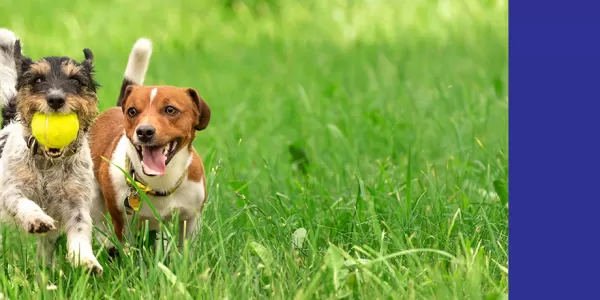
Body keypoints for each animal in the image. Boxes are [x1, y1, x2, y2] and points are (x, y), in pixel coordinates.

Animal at [89, 38, 211, 253]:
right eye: (132, 111)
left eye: (170, 110)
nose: (144, 131)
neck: (160, 184)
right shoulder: (122, 219)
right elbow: (127, 248)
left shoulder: (191, 217)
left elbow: (185, 248)